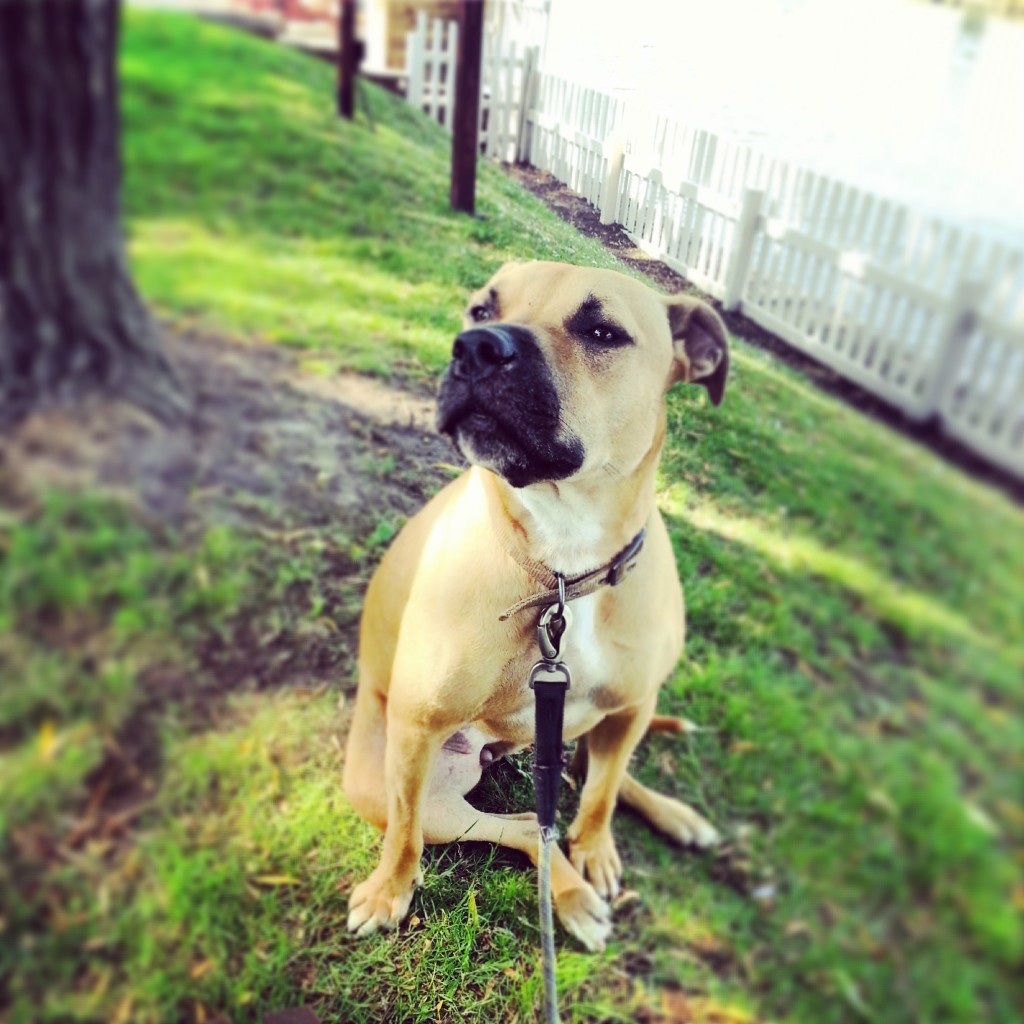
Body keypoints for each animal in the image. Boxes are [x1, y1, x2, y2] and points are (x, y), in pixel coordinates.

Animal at [344, 260, 729, 946]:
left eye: (603, 331)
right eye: (480, 309)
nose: (475, 347)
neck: (565, 560)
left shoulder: (635, 704)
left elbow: (601, 796)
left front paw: (597, 847)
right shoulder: (415, 728)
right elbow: (404, 840)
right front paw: (389, 892)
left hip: (609, 720)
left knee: (591, 780)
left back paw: (664, 821)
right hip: (401, 784)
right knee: (521, 825)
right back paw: (571, 898)